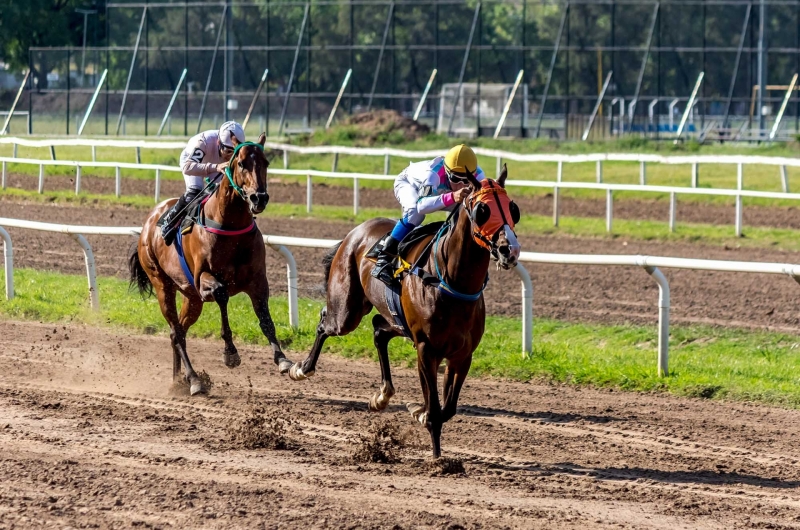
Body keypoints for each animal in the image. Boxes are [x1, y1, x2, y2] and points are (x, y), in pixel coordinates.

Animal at [130, 134, 292, 394]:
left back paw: (179, 381)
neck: (230, 226)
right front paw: (230, 353)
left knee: (178, 333)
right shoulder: (204, 279)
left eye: (266, 162)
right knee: (176, 332)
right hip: (162, 285)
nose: (259, 198)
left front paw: (283, 359)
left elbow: (266, 320)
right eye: (241, 163)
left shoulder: (257, 281)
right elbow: (222, 294)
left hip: (192, 298)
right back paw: (195, 380)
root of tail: (148, 223)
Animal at [286, 167, 520, 456]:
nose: (509, 249)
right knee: (324, 322)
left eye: (513, 209)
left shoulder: (463, 355)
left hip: (393, 318)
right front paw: (438, 458)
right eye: (482, 210)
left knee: (378, 329)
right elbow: (435, 410)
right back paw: (301, 368)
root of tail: (356, 231)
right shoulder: (426, 349)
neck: (452, 282)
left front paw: (419, 412)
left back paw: (382, 394)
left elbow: (448, 409)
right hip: (347, 312)